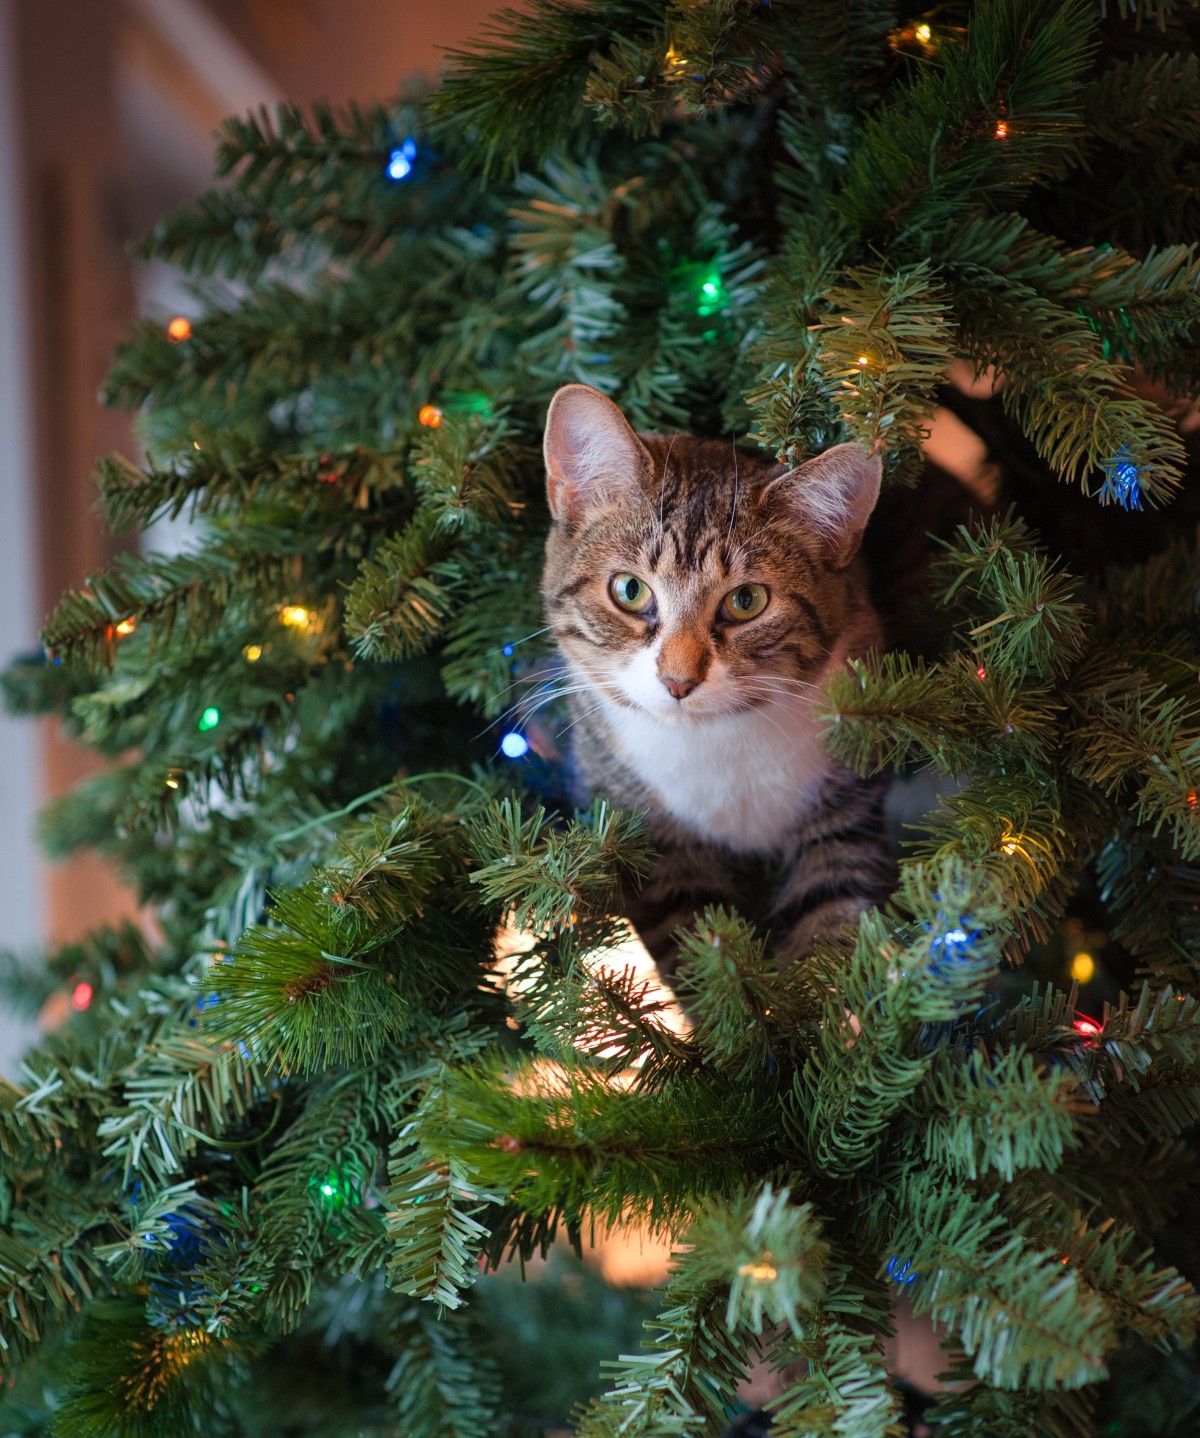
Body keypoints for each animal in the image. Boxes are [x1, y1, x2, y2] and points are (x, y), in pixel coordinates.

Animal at [538, 382, 892, 977]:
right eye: (629, 590)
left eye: (746, 601)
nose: (678, 680)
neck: (715, 741)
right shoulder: (653, 843)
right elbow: (702, 947)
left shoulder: (847, 801)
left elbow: (831, 919)